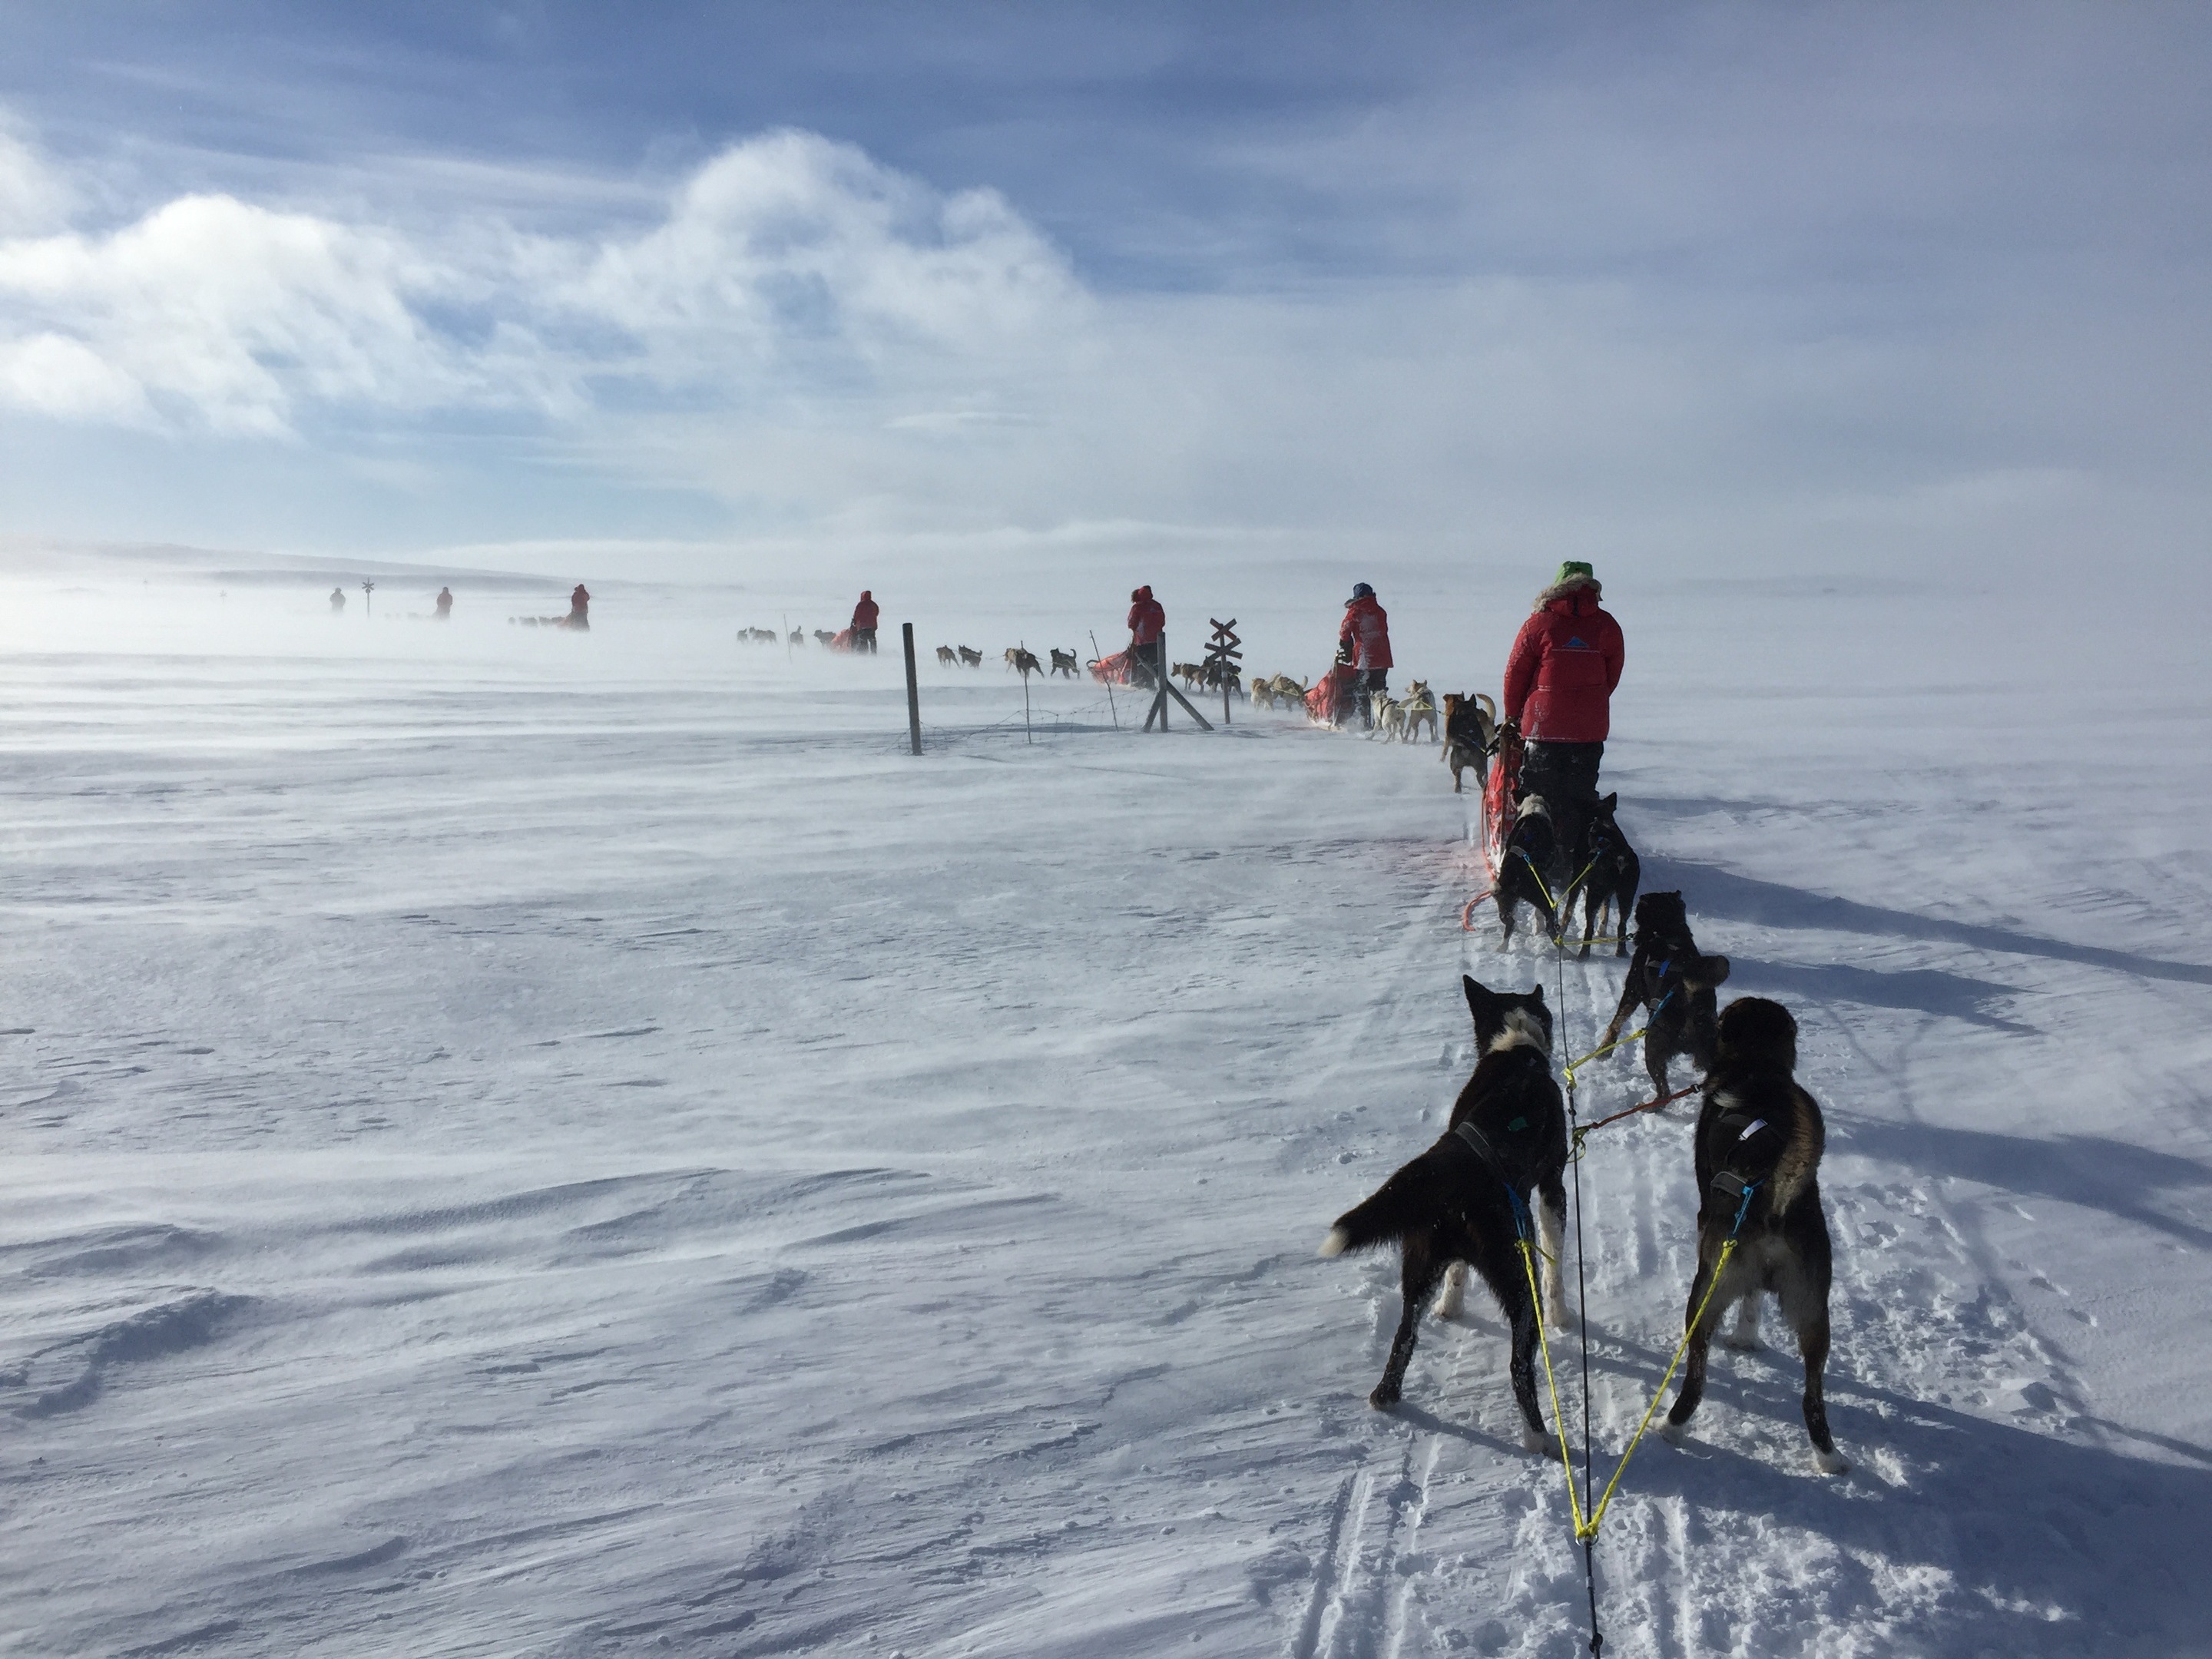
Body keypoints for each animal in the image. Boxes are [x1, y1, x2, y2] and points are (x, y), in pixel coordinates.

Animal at [1309, 982, 1575, 1451]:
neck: (1517, 1050)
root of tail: (1449, 1173)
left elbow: (1457, 1275)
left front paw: (1451, 1308)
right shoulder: (1552, 1187)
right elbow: (1555, 1263)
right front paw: (1564, 1317)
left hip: (1419, 1265)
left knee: (1404, 1338)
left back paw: (1386, 1395)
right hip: (1519, 1279)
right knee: (1519, 1367)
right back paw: (1539, 1438)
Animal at [1610, 898, 1725, 1106]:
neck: (1667, 931)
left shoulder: (1632, 991)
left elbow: (1617, 1021)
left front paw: (1604, 1050)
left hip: (1652, 1047)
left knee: (1664, 1091)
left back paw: (1652, 1105)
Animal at [1663, 995, 1849, 1477]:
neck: (1757, 1068)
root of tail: (1772, 1198)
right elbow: (1753, 1302)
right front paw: (1747, 1339)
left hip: (1705, 1291)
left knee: (1695, 1381)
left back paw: (1669, 1428)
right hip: (1814, 1312)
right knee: (1812, 1401)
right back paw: (1829, 1458)